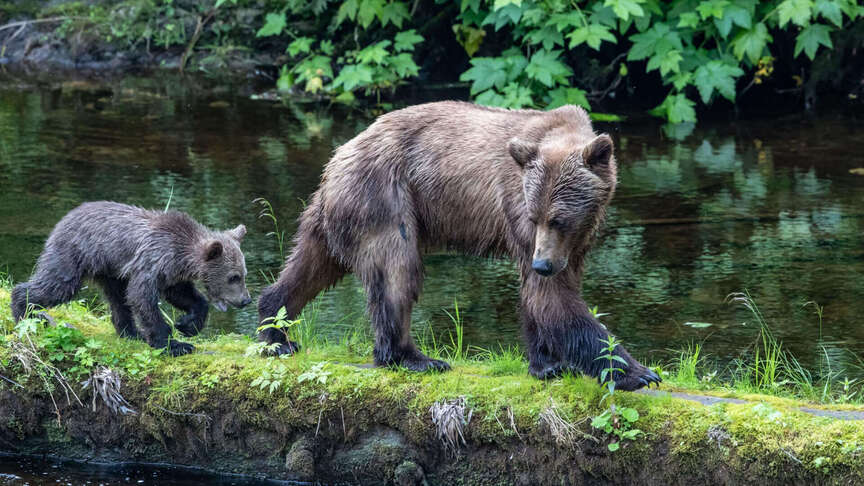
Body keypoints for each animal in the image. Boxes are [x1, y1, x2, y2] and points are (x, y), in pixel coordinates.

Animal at [10, 201, 251, 356]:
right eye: (234, 277)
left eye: (243, 274)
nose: (246, 300)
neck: (181, 255)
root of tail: (64, 218)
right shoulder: (152, 262)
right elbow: (142, 297)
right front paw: (174, 344)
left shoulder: (170, 273)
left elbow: (184, 295)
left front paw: (187, 324)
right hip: (74, 254)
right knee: (56, 284)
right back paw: (25, 313)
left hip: (110, 270)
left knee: (118, 299)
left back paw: (131, 332)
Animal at [258, 101, 661, 391]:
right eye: (537, 217)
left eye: (558, 219)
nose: (543, 264)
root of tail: (338, 156)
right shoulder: (516, 204)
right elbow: (553, 298)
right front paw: (638, 372)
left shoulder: (571, 240)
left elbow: (544, 295)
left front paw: (548, 363)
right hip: (386, 195)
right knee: (397, 273)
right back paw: (414, 357)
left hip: (336, 212)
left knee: (312, 264)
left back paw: (276, 330)